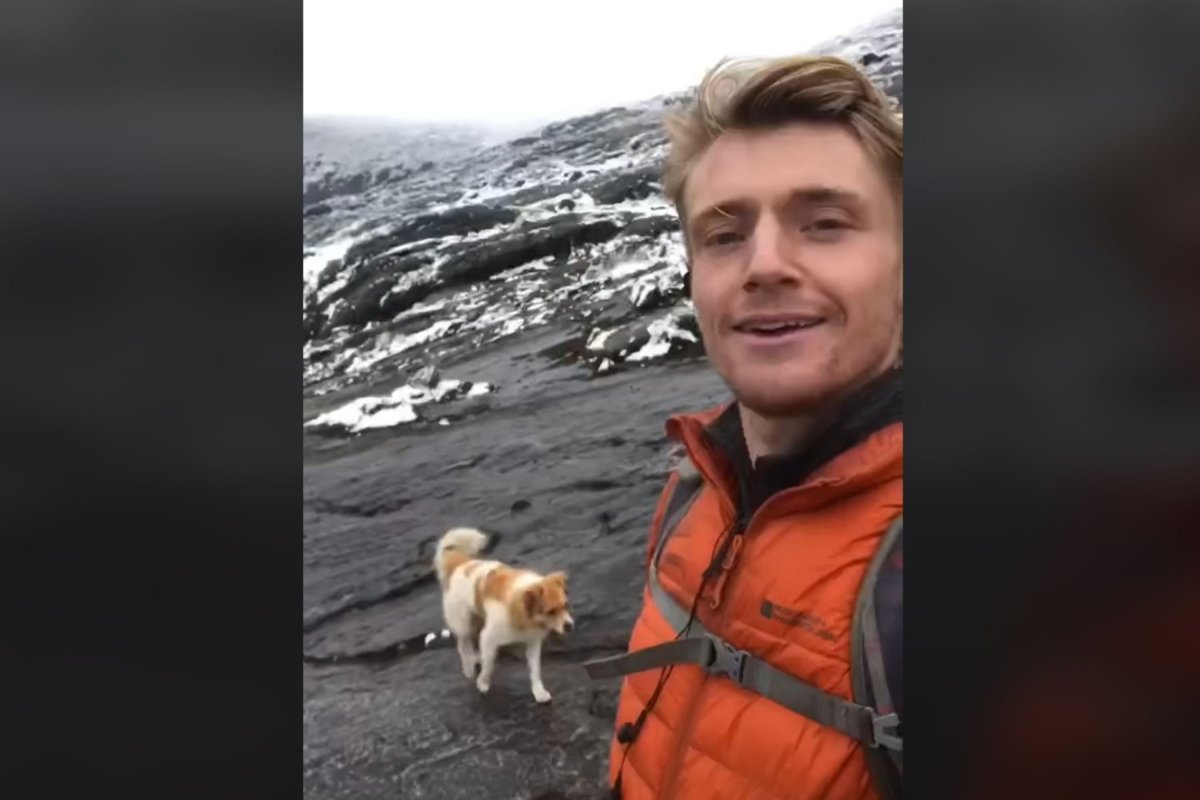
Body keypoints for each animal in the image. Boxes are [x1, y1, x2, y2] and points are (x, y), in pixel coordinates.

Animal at [436, 527, 576, 705]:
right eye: (550, 611)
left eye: (566, 605)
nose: (570, 626)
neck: (523, 613)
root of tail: (461, 564)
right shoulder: (488, 637)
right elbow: (489, 663)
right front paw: (483, 682)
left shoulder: (533, 642)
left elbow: (535, 670)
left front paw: (539, 692)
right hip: (464, 623)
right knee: (463, 645)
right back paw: (468, 667)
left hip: (478, 619)